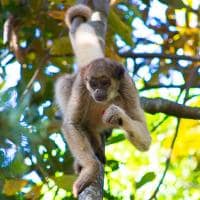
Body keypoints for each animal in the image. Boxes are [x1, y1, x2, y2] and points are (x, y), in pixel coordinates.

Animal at [54, 3, 151, 198]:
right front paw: (90, 170)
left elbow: (145, 139)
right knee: (63, 84)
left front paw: (117, 115)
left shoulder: (127, 85)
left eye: (105, 83)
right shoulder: (81, 86)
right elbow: (71, 124)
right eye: (93, 83)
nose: (98, 91)